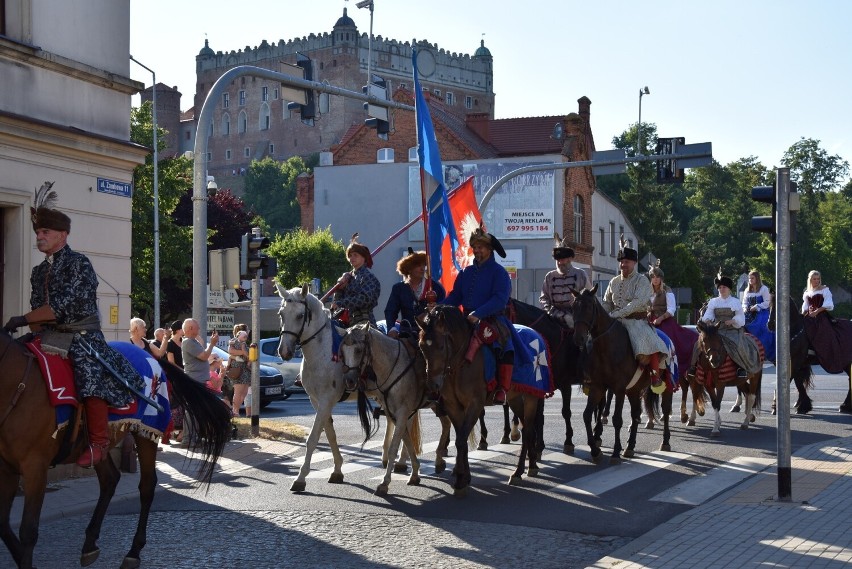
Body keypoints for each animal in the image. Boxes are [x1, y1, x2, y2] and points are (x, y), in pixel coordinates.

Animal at [0, 338, 231, 568]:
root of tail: (151, 355)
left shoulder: (35, 467)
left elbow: (28, 530)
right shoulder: (8, 470)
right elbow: (4, 524)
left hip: (146, 432)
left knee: (146, 486)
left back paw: (133, 551)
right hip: (98, 443)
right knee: (110, 478)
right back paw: (90, 544)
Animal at [416, 306, 544, 492]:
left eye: (440, 346)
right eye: (421, 347)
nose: (433, 385)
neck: (461, 363)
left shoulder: (474, 405)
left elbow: (461, 440)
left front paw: (460, 479)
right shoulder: (454, 406)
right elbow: (461, 440)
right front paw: (464, 475)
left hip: (531, 397)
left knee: (528, 430)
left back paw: (518, 472)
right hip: (514, 399)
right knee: (528, 428)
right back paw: (531, 464)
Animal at [568, 286, 676, 464]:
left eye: (589, 306)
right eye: (573, 307)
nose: (579, 338)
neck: (606, 347)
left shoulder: (618, 389)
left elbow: (617, 419)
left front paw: (615, 452)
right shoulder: (598, 387)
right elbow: (587, 415)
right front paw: (595, 450)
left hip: (666, 384)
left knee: (665, 410)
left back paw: (665, 442)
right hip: (633, 390)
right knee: (636, 414)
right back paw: (630, 446)